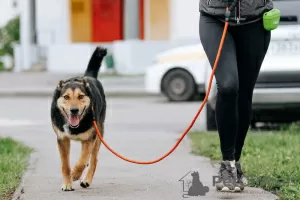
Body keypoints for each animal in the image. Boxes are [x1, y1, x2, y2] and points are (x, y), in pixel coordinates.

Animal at [51, 46, 107, 191]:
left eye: (81, 96)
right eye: (66, 97)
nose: (74, 110)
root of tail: (89, 76)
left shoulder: (89, 138)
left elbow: (82, 161)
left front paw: (75, 174)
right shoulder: (62, 139)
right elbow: (65, 165)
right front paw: (67, 183)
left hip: (98, 133)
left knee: (93, 159)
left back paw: (86, 180)